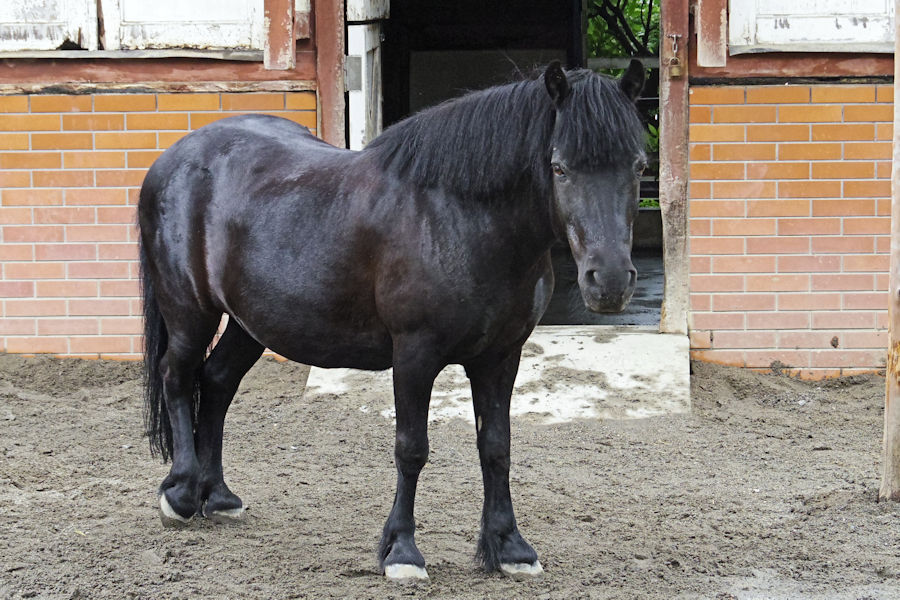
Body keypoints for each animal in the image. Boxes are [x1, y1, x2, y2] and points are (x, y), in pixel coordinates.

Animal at [139, 62, 648, 580]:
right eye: (559, 167)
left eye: (639, 165)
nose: (609, 280)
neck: (460, 219)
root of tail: (174, 158)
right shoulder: (414, 355)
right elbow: (412, 448)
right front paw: (401, 551)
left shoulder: (501, 356)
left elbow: (496, 447)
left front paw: (509, 547)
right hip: (190, 312)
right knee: (176, 376)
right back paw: (181, 495)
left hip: (249, 324)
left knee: (217, 382)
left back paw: (219, 498)